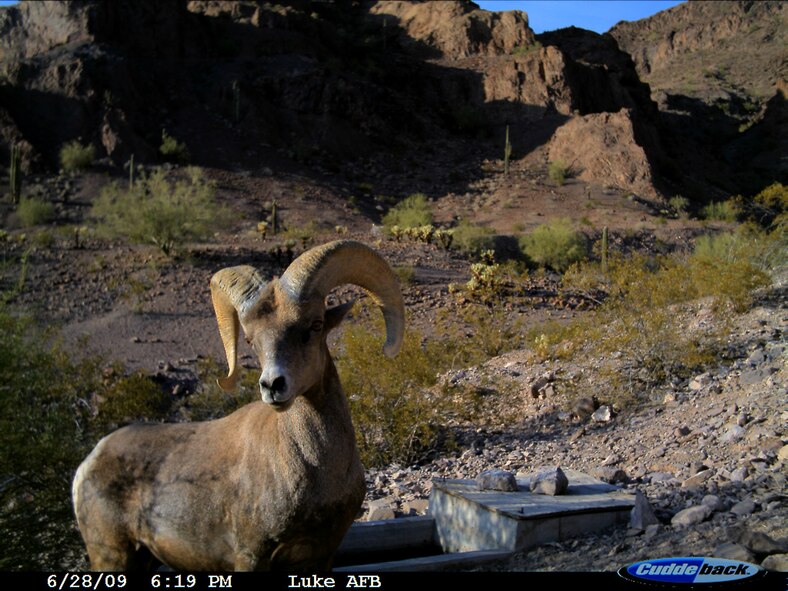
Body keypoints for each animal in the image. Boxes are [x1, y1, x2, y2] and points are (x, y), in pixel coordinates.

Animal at [72, 240, 406, 572]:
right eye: (249, 340)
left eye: (315, 325)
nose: (272, 385)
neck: (317, 469)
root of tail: (89, 462)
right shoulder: (251, 556)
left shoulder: (322, 556)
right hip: (112, 556)